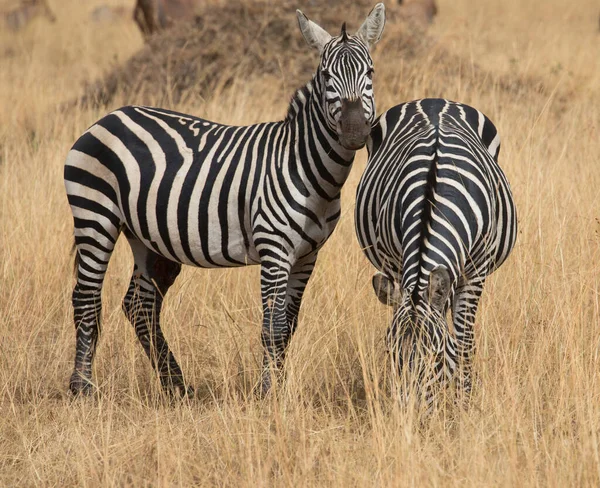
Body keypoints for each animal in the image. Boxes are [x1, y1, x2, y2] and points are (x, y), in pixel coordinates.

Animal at [64, 3, 384, 398]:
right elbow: (272, 328)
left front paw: (280, 388)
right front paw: (268, 393)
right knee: (86, 299)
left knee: (140, 305)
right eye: (326, 76)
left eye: (370, 72)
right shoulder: (274, 251)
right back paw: (82, 387)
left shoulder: (308, 255)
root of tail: (108, 117)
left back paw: (176, 385)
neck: (308, 168)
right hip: (95, 215)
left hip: (146, 237)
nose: (355, 133)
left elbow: (288, 327)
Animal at [354, 97, 516, 406]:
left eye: (437, 358)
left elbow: (464, 343)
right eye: (390, 354)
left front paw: (464, 402)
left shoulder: (475, 275)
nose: (409, 413)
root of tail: (435, 101)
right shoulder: (396, 265)